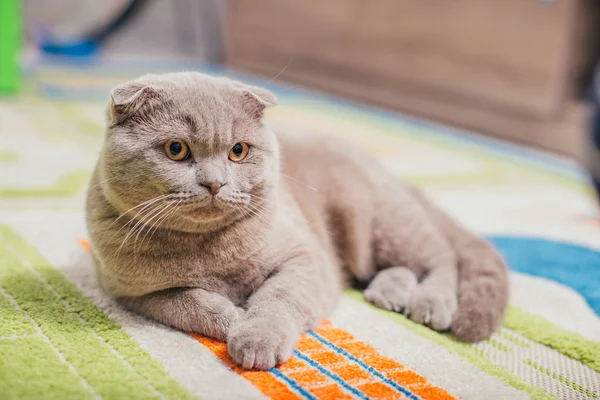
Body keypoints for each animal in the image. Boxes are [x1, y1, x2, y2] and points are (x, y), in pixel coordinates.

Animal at [86, 71, 508, 368]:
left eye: (238, 151)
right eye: (176, 149)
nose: (215, 183)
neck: (207, 252)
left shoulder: (304, 260)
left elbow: (277, 298)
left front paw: (255, 338)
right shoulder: (132, 293)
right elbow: (190, 302)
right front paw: (232, 318)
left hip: (385, 223)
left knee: (441, 259)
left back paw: (429, 302)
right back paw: (389, 292)